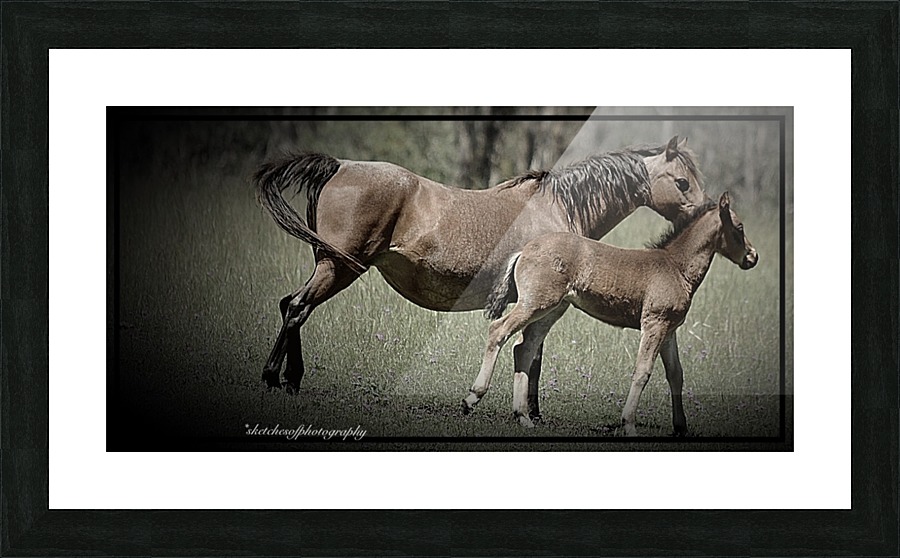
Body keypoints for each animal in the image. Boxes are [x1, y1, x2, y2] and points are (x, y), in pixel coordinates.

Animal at [255, 136, 709, 420]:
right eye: (681, 181)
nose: (706, 211)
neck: (558, 207)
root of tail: (339, 165)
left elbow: (530, 354)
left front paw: (530, 412)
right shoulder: (540, 303)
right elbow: (532, 356)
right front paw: (530, 413)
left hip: (328, 267)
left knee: (290, 305)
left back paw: (291, 379)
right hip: (339, 268)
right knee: (297, 309)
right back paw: (274, 377)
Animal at [469, 192, 757, 435]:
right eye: (740, 227)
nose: (753, 257)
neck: (676, 268)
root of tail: (524, 250)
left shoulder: (669, 330)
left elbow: (676, 375)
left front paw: (681, 428)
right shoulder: (654, 323)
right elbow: (643, 372)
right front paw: (628, 425)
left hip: (550, 309)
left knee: (524, 348)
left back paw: (523, 417)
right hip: (535, 303)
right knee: (498, 330)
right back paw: (472, 397)